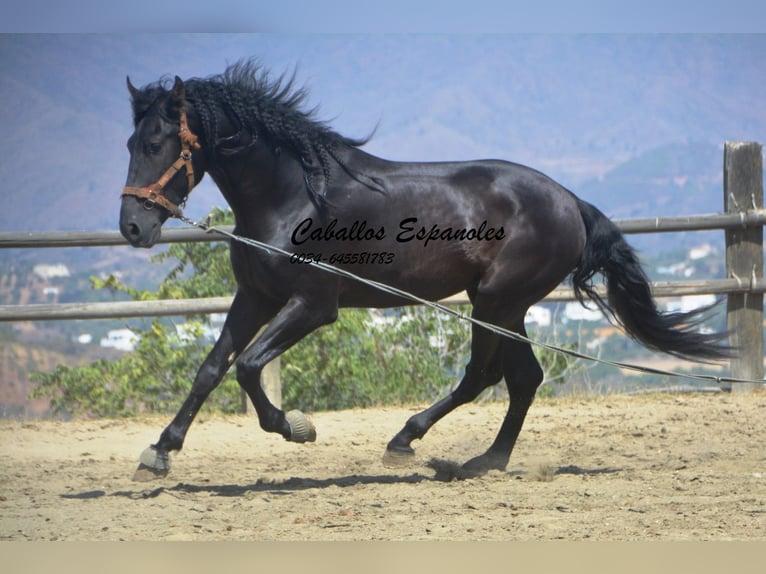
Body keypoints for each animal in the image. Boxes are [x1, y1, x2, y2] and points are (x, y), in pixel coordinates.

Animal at [120, 62, 732, 482]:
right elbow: (211, 369)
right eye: (130, 142)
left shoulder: (314, 306)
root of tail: (570, 202)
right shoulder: (254, 296)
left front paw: (297, 427)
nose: (131, 227)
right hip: (502, 305)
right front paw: (160, 452)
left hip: (497, 302)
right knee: (520, 379)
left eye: (155, 142)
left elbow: (247, 367)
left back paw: (415, 444)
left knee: (487, 376)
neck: (294, 196)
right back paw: (479, 460)